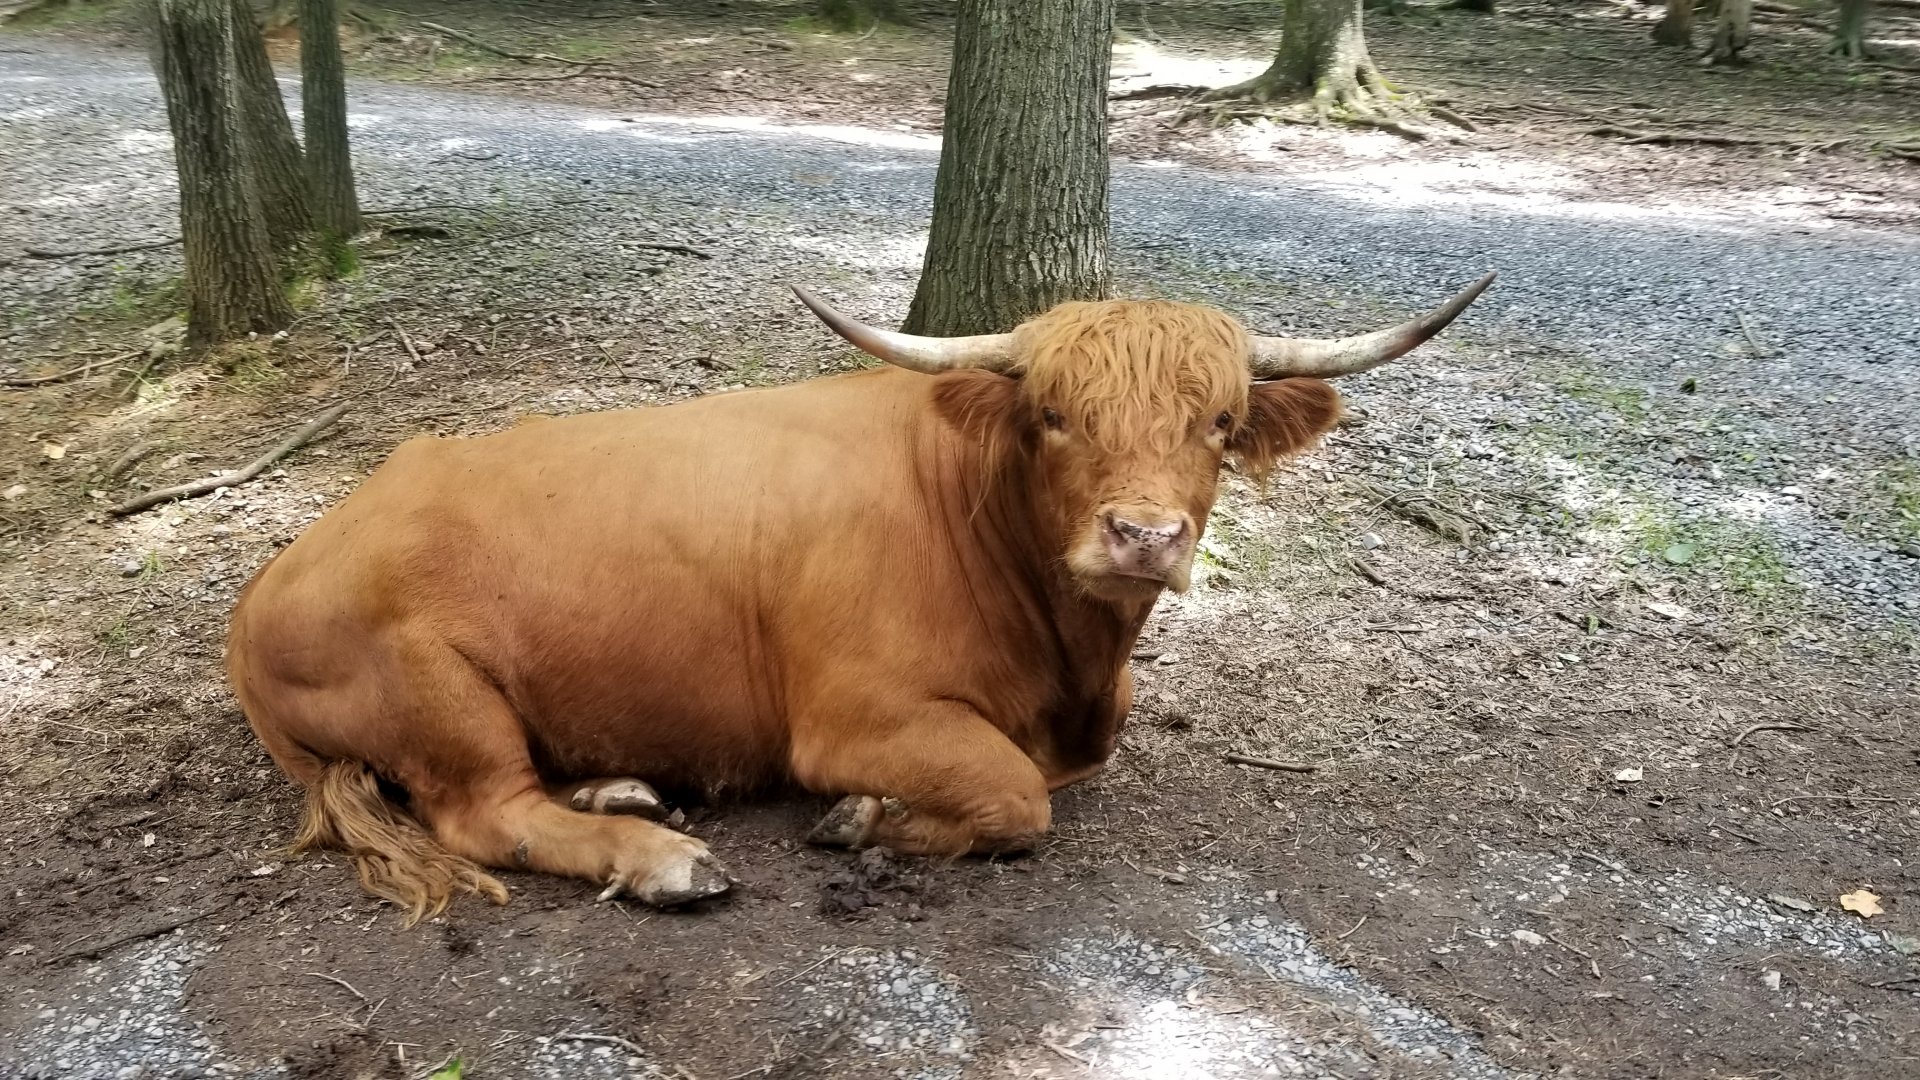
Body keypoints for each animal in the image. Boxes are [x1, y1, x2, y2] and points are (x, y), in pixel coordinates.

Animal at [225, 274, 1494, 923]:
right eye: (1054, 416)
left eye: (1220, 422)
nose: (1143, 537)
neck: (1072, 661)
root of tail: (268, 586)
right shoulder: (855, 718)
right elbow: (1015, 794)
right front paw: (865, 820)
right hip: (442, 698)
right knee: (485, 810)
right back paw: (659, 855)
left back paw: (622, 784)